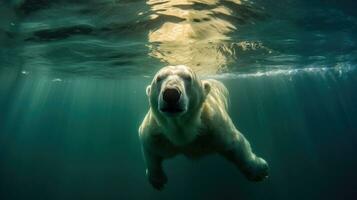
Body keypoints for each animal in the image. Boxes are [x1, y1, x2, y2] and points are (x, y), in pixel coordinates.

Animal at [138, 65, 268, 190]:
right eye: (158, 78)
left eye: (188, 78)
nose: (171, 94)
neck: (182, 130)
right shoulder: (155, 133)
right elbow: (150, 151)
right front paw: (158, 181)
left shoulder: (214, 127)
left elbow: (236, 143)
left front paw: (260, 171)